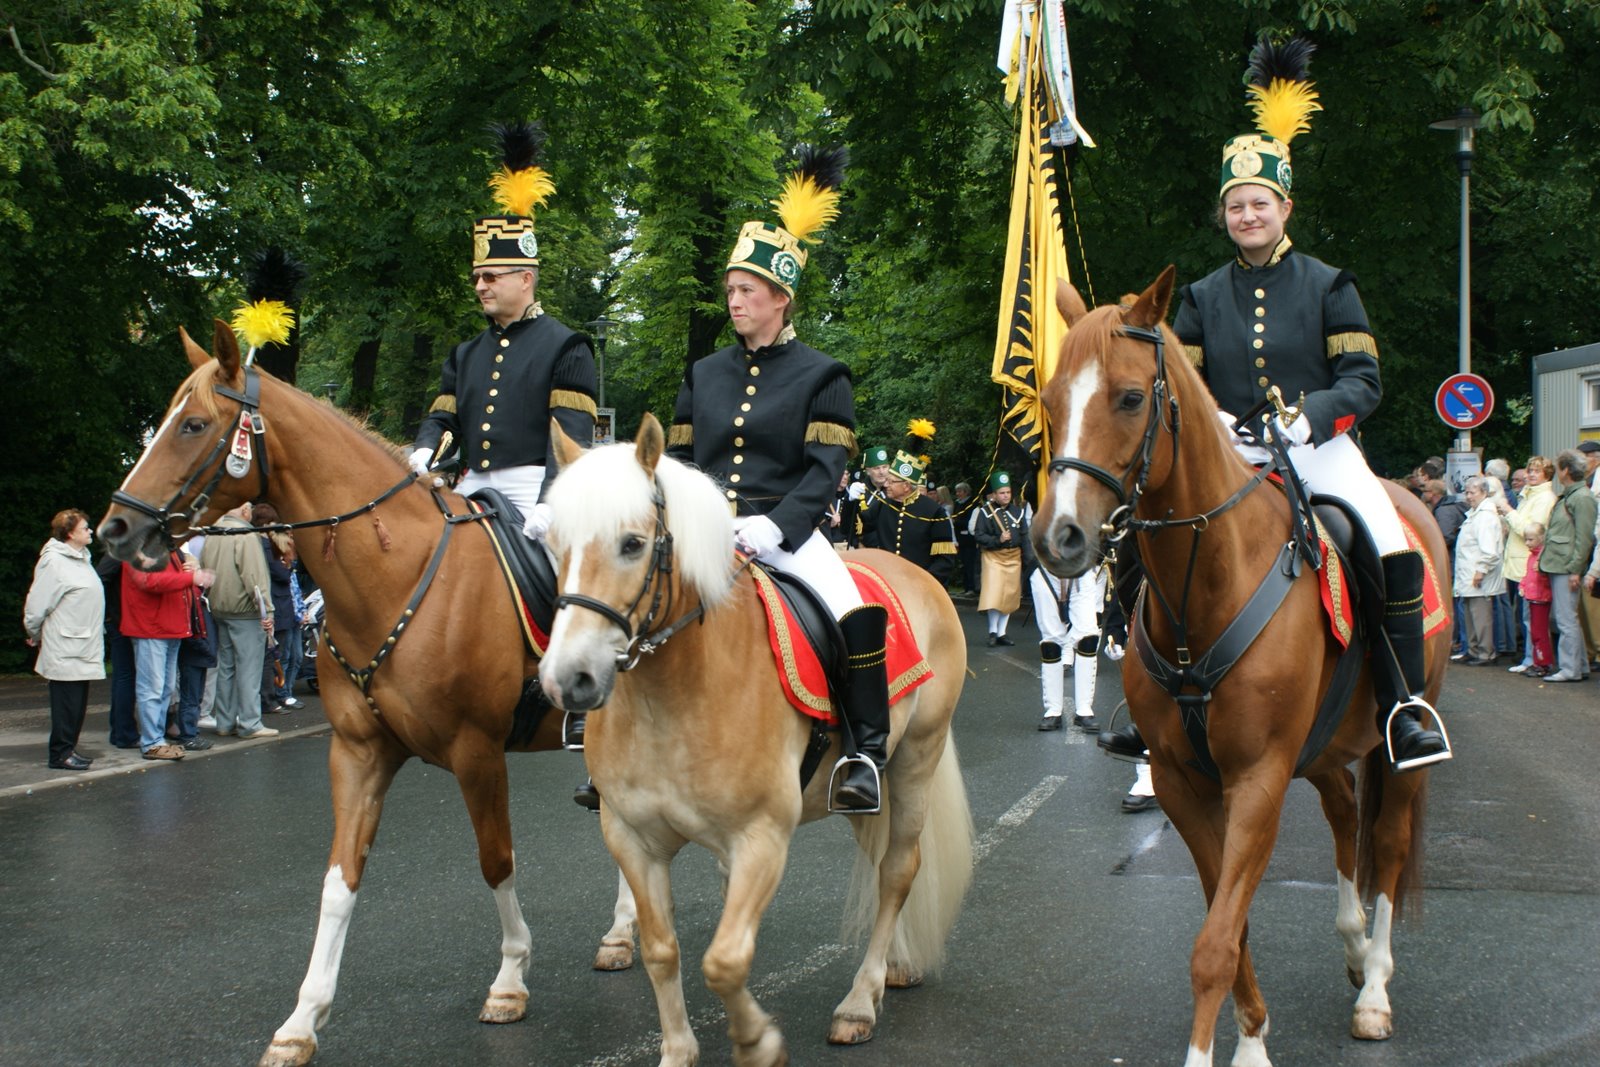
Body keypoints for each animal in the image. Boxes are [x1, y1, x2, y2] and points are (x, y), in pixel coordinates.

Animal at [95, 320, 638, 1067]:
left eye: (194, 424)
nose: (113, 531)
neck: (394, 572)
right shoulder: (357, 752)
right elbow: (338, 881)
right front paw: (302, 1019)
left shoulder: (476, 751)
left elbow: (495, 859)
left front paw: (509, 979)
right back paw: (623, 933)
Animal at [537, 414, 974, 1067]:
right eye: (555, 545)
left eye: (633, 544)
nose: (568, 679)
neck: (674, 697)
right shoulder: (633, 839)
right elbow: (664, 951)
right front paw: (679, 1051)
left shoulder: (761, 839)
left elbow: (724, 960)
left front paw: (757, 1041)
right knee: (880, 864)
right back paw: (894, 966)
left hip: (915, 759)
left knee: (899, 868)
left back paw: (859, 1002)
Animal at [1029, 269, 1443, 1066]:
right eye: (1051, 399)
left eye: (1131, 397)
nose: (1057, 538)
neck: (1212, 584)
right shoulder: (1185, 781)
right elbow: (1231, 920)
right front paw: (1252, 1037)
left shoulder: (1257, 777)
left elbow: (1216, 940)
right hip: (1322, 747)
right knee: (1345, 813)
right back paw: (1352, 944)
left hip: (1396, 740)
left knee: (1386, 840)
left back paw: (1375, 988)